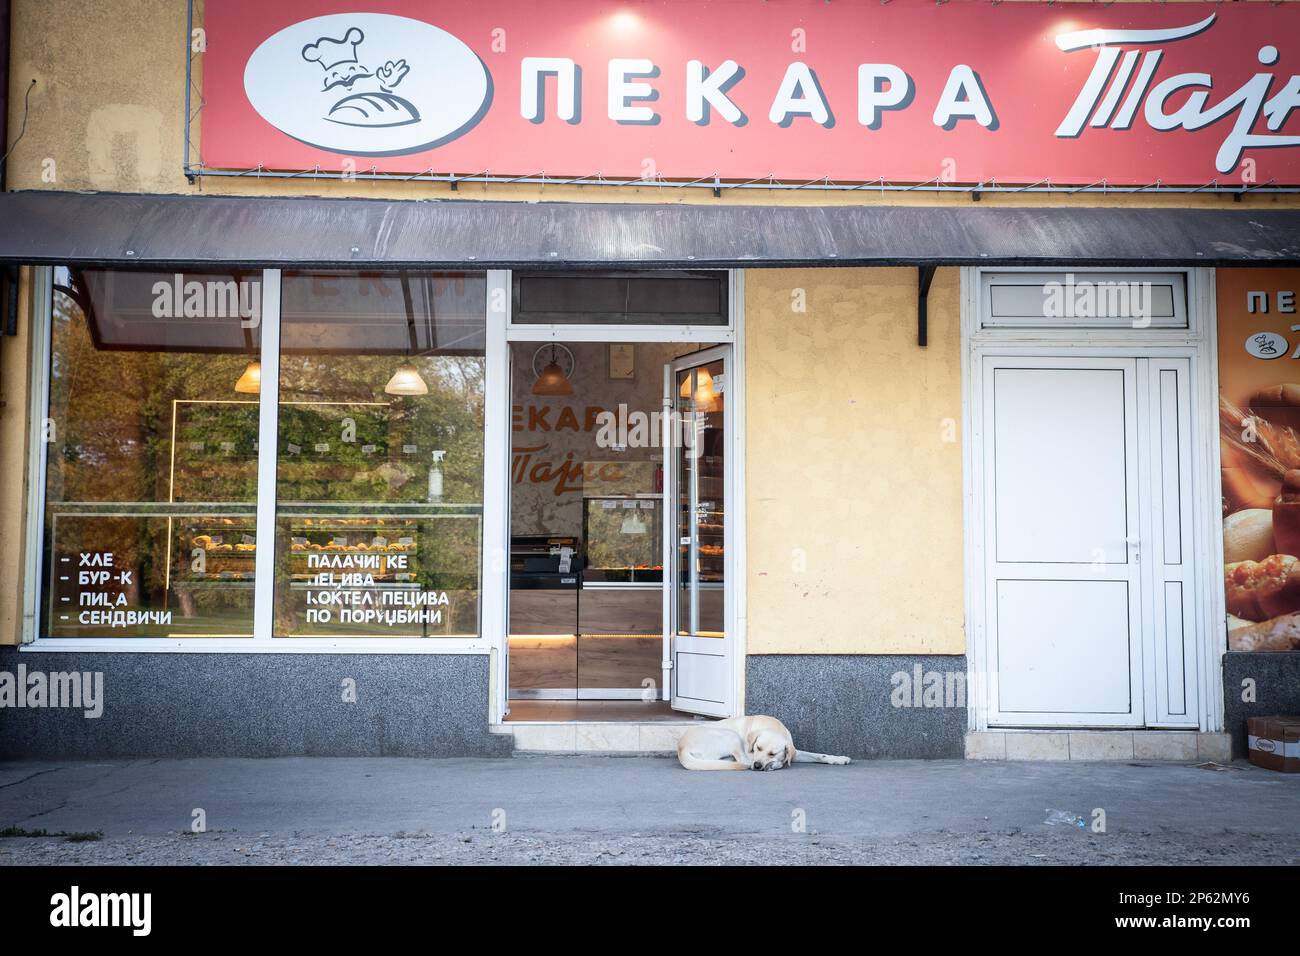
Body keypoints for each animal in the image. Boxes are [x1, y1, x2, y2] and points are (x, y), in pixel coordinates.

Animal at [676, 712, 847, 775]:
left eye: (772, 753)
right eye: (758, 748)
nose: (757, 766)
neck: (773, 726)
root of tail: (681, 748)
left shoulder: (794, 752)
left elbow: (819, 755)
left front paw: (838, 759)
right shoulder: (750, 753)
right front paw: (774, 764)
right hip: (731, 736)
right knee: (743, 762)